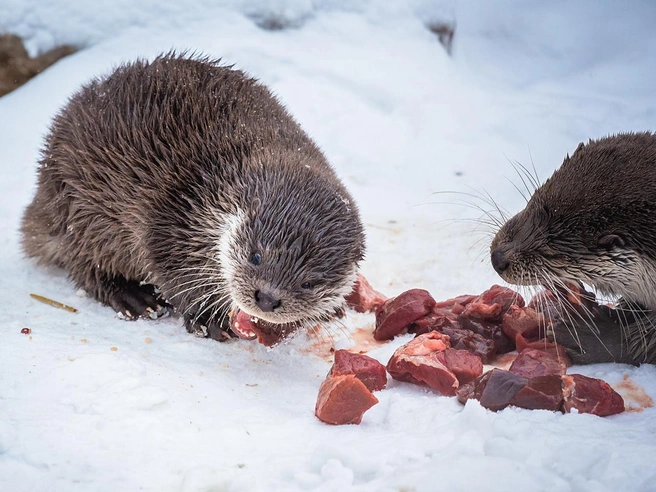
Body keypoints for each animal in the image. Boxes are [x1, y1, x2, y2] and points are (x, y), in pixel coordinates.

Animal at [20, 52, 366, 340]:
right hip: (80, 209)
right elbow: (173, 271)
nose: (267, 298)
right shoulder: (168, 217)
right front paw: (208, 318)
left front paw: (328, 311)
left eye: (309, 283)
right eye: (256, 256)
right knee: (84, 264)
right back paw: (132, 296)